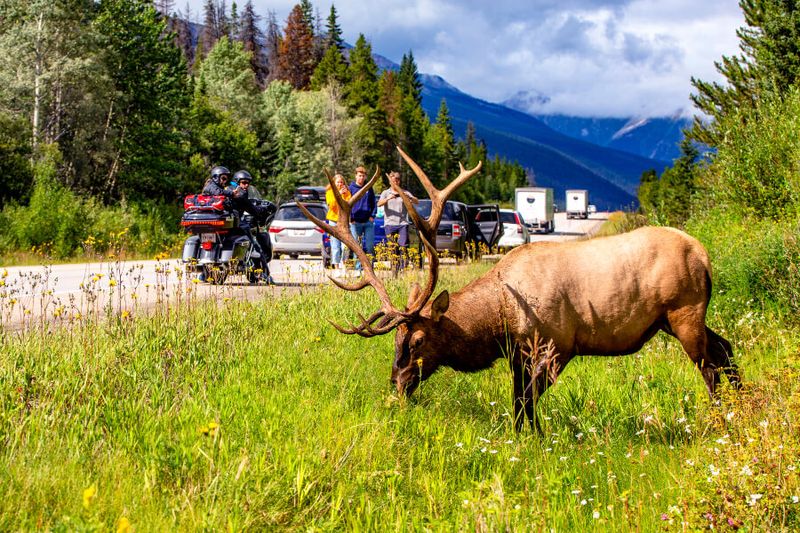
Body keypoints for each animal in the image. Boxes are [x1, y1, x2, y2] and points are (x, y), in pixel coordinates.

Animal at [296, 148, 740, 430]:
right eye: (395, 340)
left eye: (419, 340)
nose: (397, 383)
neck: (500, 318)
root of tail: (705, 257)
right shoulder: (517, 353)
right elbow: (517, 402)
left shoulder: (558, 345)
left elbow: (527, 401)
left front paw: (534, 440)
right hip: (675, 319)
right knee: (727, 349)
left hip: (684, 311)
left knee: (711, 366)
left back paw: (720, 422)